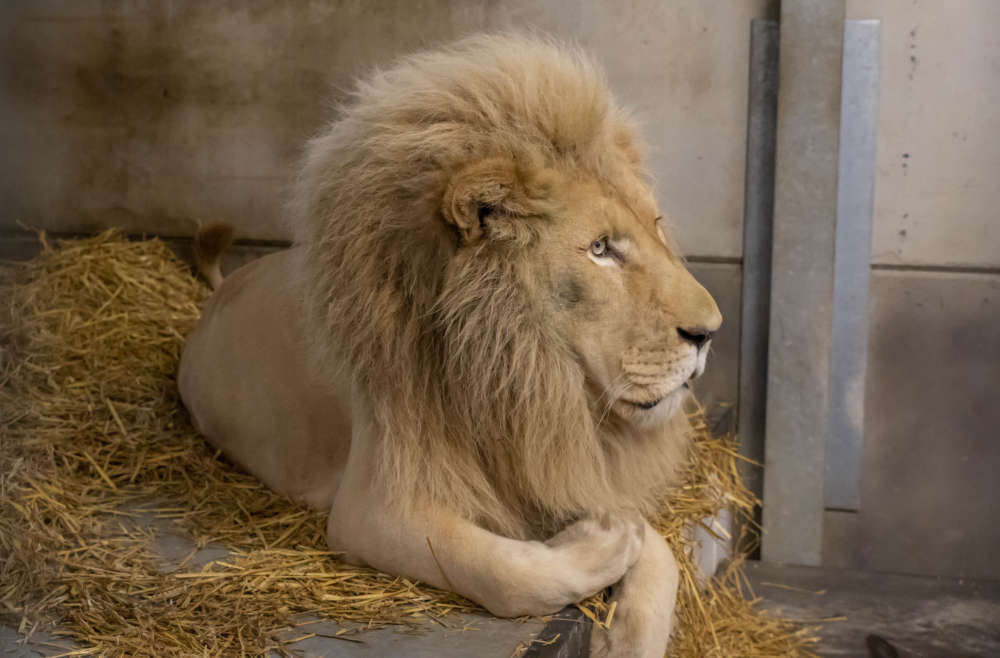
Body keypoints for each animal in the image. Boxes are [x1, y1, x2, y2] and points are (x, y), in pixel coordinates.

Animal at [178, 34, 721, 657]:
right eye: (601, 248)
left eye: (657, 228)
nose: (711, 331)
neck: (519, 371)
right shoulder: (373, 507)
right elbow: (503, 570)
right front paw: (606, 540)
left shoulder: (546, 464)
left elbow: (663, 562)